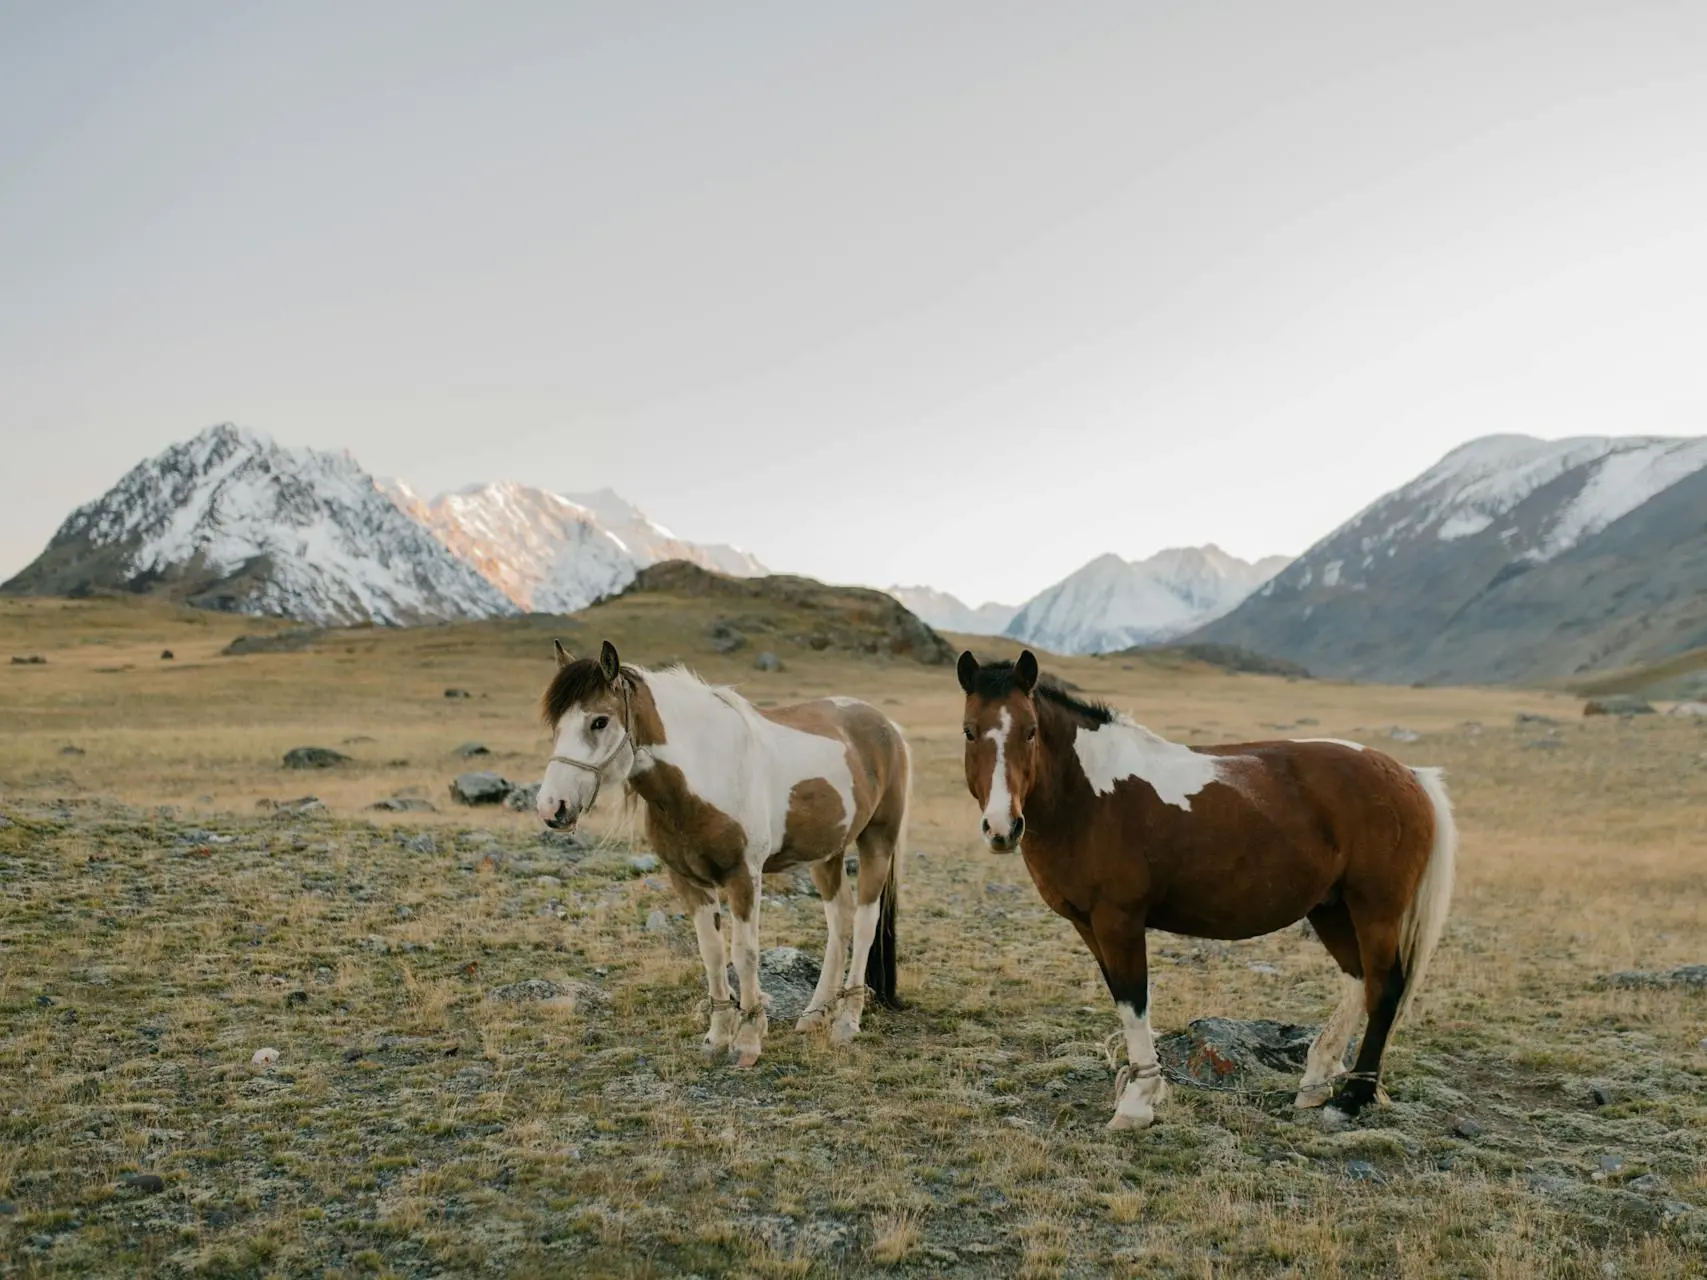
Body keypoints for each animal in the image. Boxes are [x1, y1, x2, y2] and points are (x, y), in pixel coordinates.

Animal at [535, 641, 908, 1071]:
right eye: (556, 725)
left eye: (599, 721)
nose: (551, 807)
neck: (705, 772)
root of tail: (887, 726)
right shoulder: (687, 880)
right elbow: (711, 952)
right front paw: (717, 1036)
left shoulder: (743, 876)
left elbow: (744, 953)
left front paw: (748, 1039)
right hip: (826, 854)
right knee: (840, 921)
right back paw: (814, 1015)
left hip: (877, 841)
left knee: (864, 922)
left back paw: (846, 1022)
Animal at [962, 651, 1454, 1133]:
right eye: (969, 731)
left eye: (1030, 731)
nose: (1003, 827)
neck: (1090, 797)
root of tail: (1407, 775)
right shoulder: (1088, 924)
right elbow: (1122, 998)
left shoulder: (1119, 921)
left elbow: (1134, 1001)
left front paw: (1137, 1103)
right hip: (1331, 908)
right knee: (1359, 979)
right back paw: (1316, 1084)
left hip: (1376, 908)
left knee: (1384, 988)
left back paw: (1351, 1100)